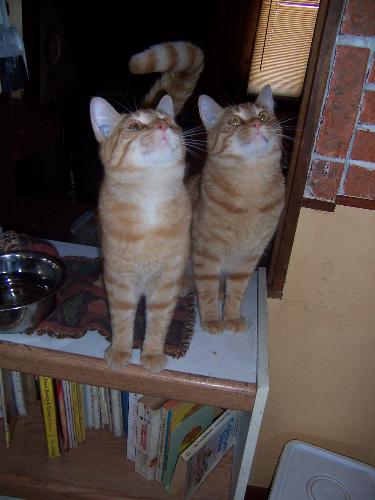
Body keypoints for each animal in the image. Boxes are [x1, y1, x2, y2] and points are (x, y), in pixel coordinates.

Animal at [89, 42, 204, 372]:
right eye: (135, 126)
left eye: (170, 121)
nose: (164, 125)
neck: (150, 199)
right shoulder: (120, 279)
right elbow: (122, 319)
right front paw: (120, 351)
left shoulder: (164, 282)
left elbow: (158, 321)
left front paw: (151, 354)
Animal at [192, 85, 284, 336]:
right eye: (234, 121)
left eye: (263, 116)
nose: (256, 124)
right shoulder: (207, 255)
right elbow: (206, 291)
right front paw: (212, 319)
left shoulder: (248, 258)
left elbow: (236, 294)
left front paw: (231, 317)